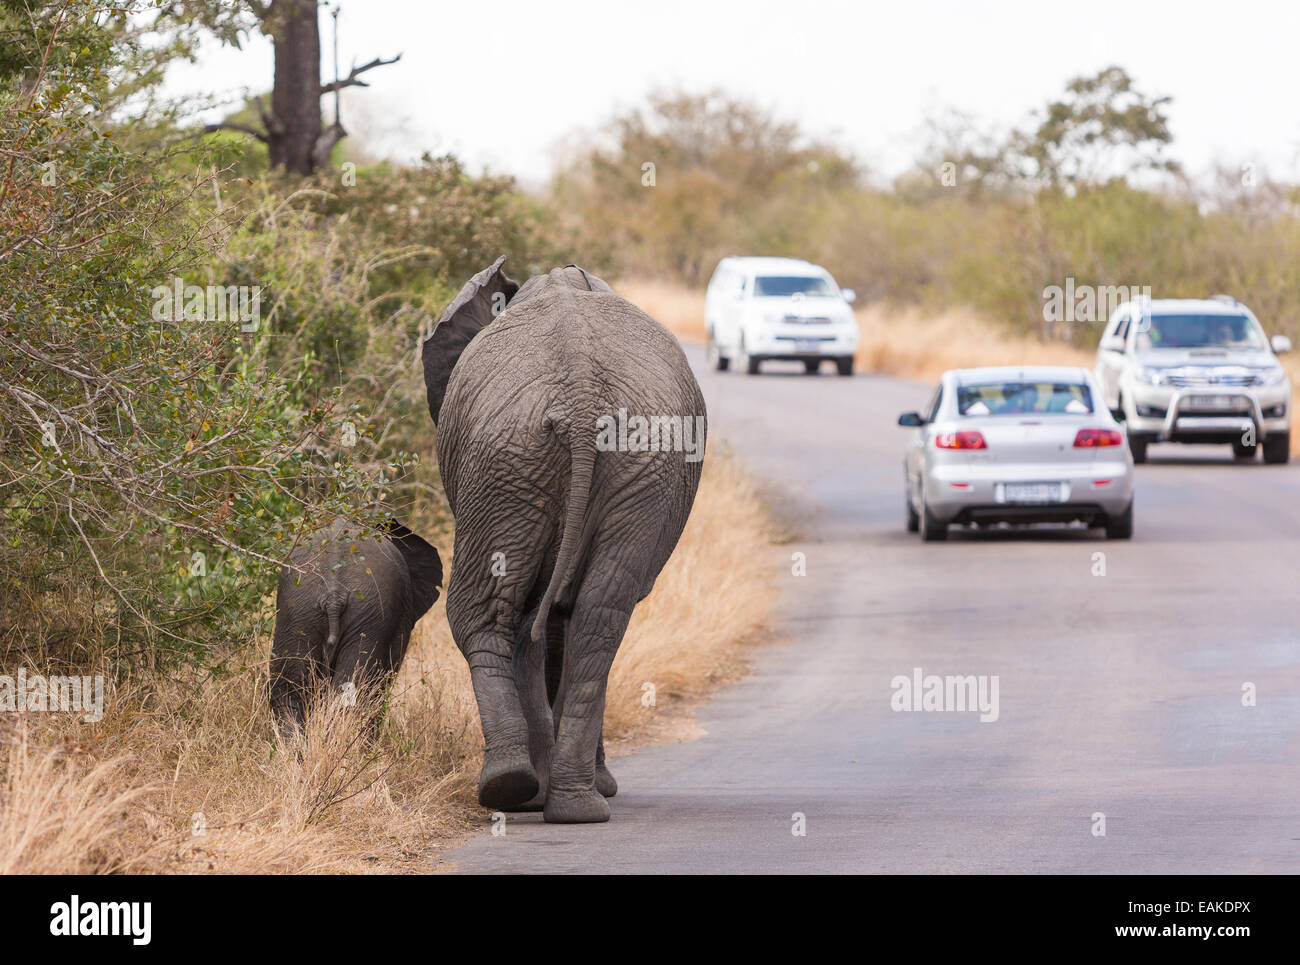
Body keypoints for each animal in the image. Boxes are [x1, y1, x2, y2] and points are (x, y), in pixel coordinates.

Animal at [423, 257, 712, 821]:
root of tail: (581, 394)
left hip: (508, 462)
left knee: (489, 614)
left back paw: (517, 790)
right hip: (629, 469)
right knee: (598, 619)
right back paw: (569, 803)